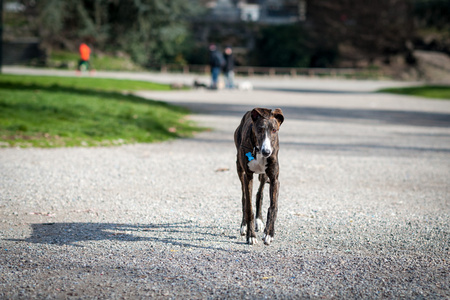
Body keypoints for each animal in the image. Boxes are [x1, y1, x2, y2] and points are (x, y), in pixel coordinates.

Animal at [234, 107, 284, 244]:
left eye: (274, 130)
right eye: (260, 129)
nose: (266, 152)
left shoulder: (274, 179)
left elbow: (273, 207)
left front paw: (269, 233)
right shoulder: (247, 176)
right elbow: (248, 207)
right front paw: (250, 235)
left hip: (264, 176)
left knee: (259, 194)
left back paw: (259, 221)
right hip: (239, 170)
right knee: (244, 198)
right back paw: (244, 226)